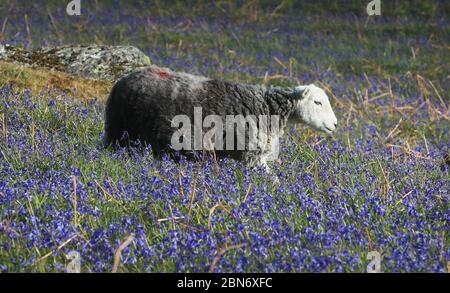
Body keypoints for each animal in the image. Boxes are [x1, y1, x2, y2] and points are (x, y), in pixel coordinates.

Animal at [104, 64, 338, 169]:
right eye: (317, 103)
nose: (335, 124)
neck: (268, 107)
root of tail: (123, 80)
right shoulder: (252, 155)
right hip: (121, 133)